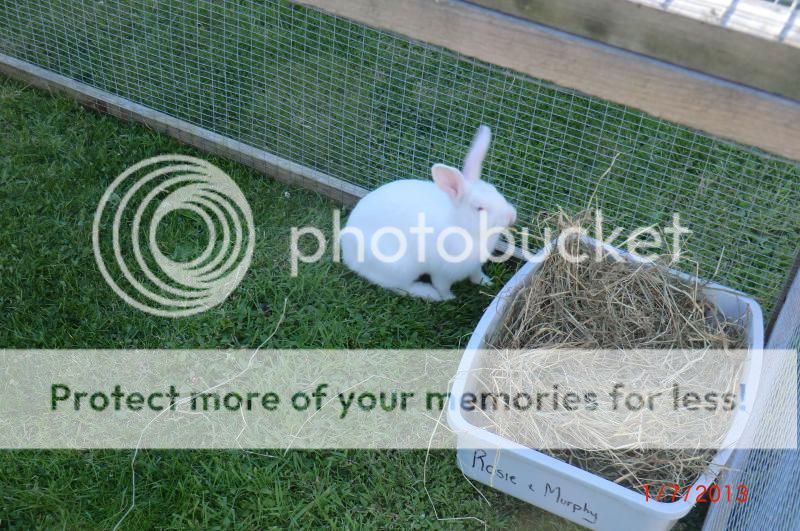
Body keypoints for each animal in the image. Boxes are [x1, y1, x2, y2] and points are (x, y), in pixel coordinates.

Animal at [340, 123, 516, 300]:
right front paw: (449, 298)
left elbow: (476, 275)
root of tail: (348, 254)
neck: (464, 228)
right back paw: (428, 294)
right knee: (400, 287)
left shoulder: (475, 266)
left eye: (495, 190)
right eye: (479, 208)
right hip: (399, 267)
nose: (511, 216)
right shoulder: (442, 273)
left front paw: (486, 283)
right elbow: (442, 286)